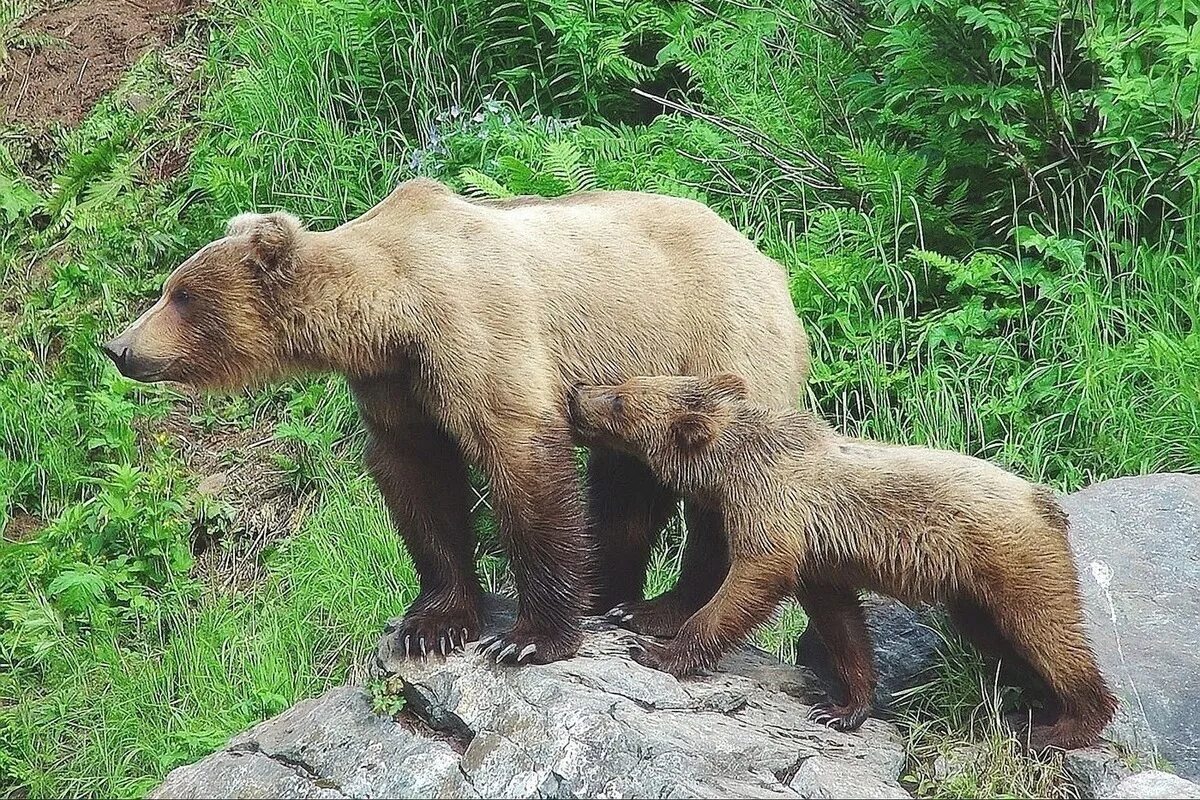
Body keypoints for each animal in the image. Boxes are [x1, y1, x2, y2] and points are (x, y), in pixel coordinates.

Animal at [103, 179, 811, 662]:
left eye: (180, 295)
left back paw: (661, 610)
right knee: (625, 487)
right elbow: (420, 482)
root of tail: (770, 261)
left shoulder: (474, 333)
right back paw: (610, 594)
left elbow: (522, 458)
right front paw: (431, 625)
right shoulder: (396, 385)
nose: (118, 346)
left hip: (717, 344)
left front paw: (528, 638)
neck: (389, 312)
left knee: (719, 487)